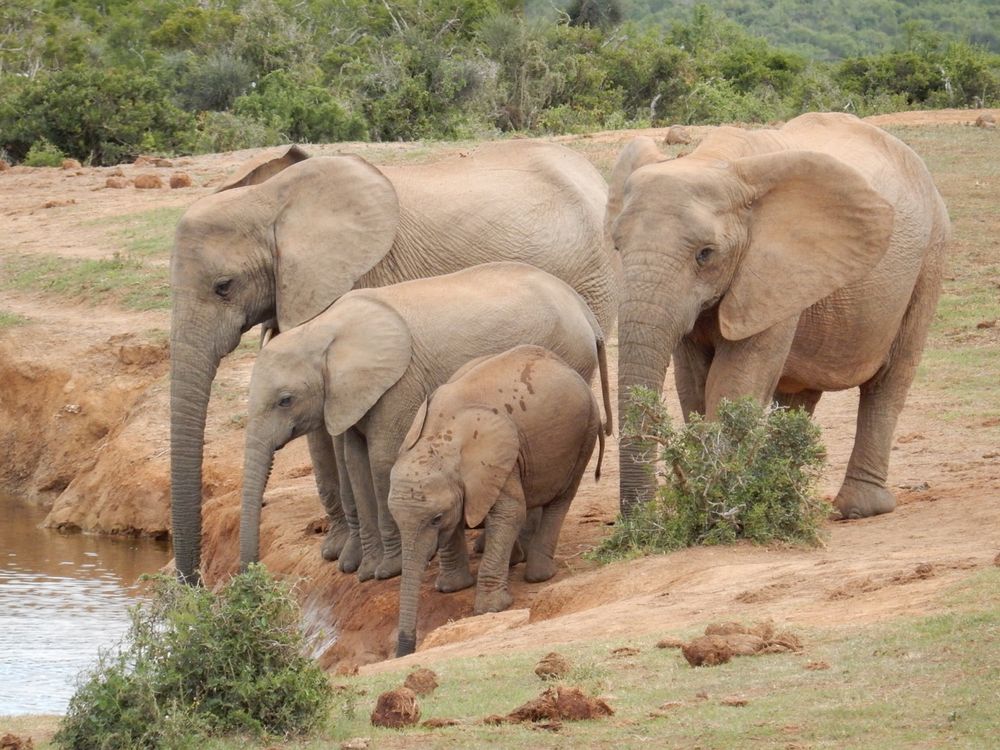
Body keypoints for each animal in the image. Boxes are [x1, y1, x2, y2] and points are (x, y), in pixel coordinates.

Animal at [238, 262, 612, 584]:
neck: (323, 329)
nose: (247, 578)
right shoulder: (350, 397)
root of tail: (585, 312)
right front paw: (367, 573)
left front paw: (390, 570)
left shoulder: (398, 383)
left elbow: (381, 461)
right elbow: (356, 462)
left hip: (570, 361)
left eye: (286, 400)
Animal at [390, 346, 604, 656]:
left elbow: (509, 513)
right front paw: (452, 588)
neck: (439, 438)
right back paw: (516, 560)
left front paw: (491, 608)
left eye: (435, 519)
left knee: (561, 497)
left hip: (585, 431)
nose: (406, 649)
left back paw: (538, 575)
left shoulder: (495, 460)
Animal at [604, 113, 948, 524]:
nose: (637, 523)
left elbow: (733, 380)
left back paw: (858, 509)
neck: (714, 161)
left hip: (930, 258)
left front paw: (717, 513)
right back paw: (785, 498)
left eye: (705, 254)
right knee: (799, 394)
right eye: (617, 246)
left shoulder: (773, 270)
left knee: (888, 382)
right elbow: (694, 384)